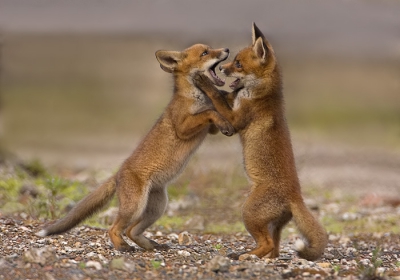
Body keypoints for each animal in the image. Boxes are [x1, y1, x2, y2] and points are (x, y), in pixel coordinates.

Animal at [36, 43, 234, 252]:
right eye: (205, 53)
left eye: (210, 49)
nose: (227, 49)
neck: (194, 97)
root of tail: (118, 173)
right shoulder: (182, 126)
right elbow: (209, 112)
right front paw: (222, 116)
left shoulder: (209, 130)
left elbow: (213, 115)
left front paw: (224, 115)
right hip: (135, 207)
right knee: (114, 228)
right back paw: (122, 247)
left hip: (156, 208)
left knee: (131, 231)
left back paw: (150, 245)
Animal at [194, 23, 328, 260]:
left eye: (238, 64)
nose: (222, 69)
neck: (260, 95)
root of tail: (295, 196)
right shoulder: (232, 101)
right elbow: (223, 94)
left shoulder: (235, 120)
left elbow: (216, 96)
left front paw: (204, 82)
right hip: (273, 225)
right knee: (274, 249)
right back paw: (253, 255)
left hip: (249, 213)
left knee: (267, 245)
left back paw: (245, 255)